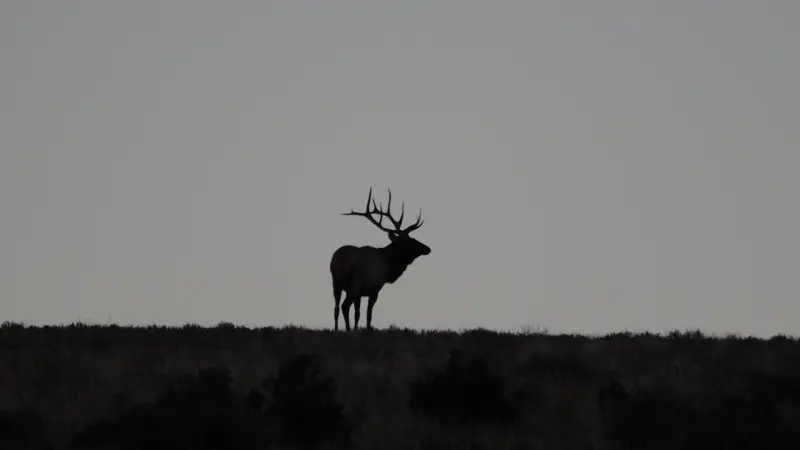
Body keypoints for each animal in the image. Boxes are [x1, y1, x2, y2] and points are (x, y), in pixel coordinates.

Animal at [330, 186, 432, 330]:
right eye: (409, 240)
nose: (428, 248)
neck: (389, 265)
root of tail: (339, 261)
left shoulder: (360, 294)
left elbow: (357, 314)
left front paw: (356, 329)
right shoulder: (375, 287)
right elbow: (368, 314)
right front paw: (366, 329)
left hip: (335, 283)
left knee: (336, 308)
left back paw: (337, 329)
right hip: (354, 283)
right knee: (345, 306)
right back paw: (347, 329)